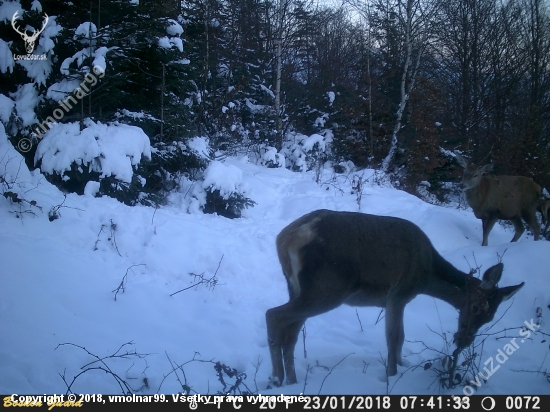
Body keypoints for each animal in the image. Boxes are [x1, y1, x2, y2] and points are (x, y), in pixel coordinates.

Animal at [268, 209, 528, 386]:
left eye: (490, 317)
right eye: (474, 306)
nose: (463, 341)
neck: (427, 274)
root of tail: (285, 238)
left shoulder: (397, 298)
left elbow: (400, 338)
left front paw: (402, 367)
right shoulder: (399, 294)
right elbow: (395, 337)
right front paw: (392, 376)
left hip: (300, 288)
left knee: (290, 334)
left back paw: (291, 381)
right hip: (328, 288)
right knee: (273, 314)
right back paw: (276, 379)